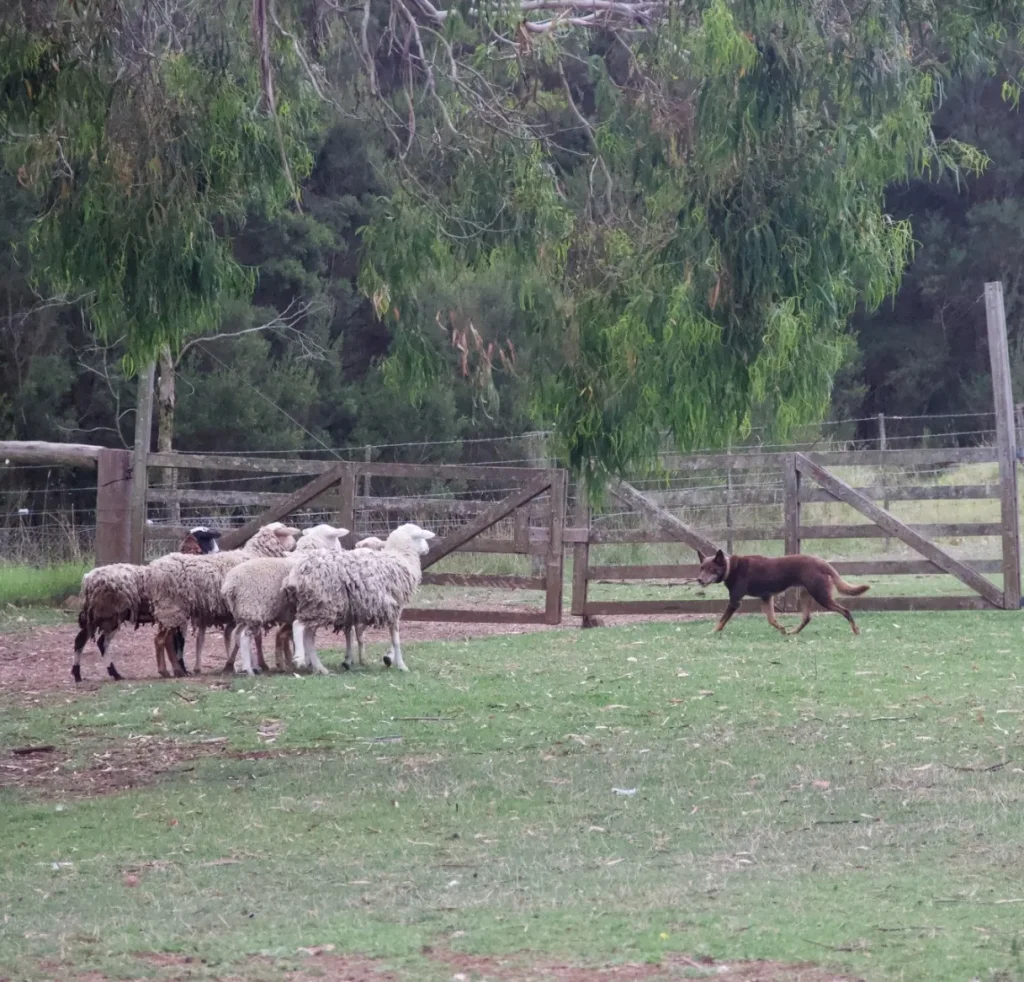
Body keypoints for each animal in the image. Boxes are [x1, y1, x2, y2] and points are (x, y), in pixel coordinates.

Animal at [72, 528, 224, 684]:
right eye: (205, 537)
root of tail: (88, 580)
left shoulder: (171, 617)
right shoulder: (177, 616)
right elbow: (179, 643)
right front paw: (182, 669)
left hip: (97, 616)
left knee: (82, 640)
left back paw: (81, 675)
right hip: (109, 615)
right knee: (100, 642)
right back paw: (111, 674)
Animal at [143, 522, 299, 675]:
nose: (295, 545)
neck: (256, 554)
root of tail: (153, 568)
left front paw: (234, 664)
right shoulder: (253, 605)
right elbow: (253, 638)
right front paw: (257, 664)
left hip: (169, 610)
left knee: (167, 640)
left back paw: (177, 670)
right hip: (171, 608)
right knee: (161, 640)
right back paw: (169, 670)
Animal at [222, 522, 350, 675]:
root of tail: (230, 584)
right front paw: (306, 662)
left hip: (242, 612)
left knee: (237, 634)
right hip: (253, 608)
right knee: (244, 636)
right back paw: (249, 670)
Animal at [284, 522, 436, 675]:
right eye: (421, 536)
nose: (428, 549)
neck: (401, 557)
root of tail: (298, 571)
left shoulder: (367, 610)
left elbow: (358, 633)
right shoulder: (394, 607)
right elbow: (396, 640)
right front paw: (400, 664)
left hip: (316, 605)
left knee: (307, 635)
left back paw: (319, 667)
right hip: (321, 604)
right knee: (298, 626)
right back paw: (300, 659)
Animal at [692, 544, 868, 638]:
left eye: (712, 569)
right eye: (701, 568)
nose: (699, 579)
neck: (730, 568)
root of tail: (822, 562)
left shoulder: (735, 602)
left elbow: (721, 621)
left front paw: (711, 632)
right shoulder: (766, 597)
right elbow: (771, 619)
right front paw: (782, 629)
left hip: (821, 596)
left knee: (845, 611)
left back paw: (855, 630)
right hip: (806, 595)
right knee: (806, 618)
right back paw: (793, 631)